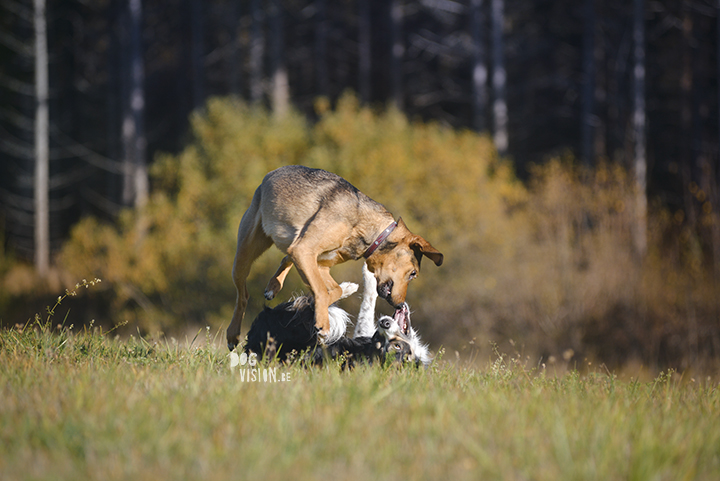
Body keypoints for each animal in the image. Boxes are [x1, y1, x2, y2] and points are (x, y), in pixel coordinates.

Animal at [228, 165, 442, 348]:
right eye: (413, 273)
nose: (400, 305)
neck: (371, 231)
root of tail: (269, 176)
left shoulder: (318, 263)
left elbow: (332, 291)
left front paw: (324, 308)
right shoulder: (304, 251)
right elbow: (322, 292)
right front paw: (322, 323)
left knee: (286, 257)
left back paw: (274, 286)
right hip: (245, 254)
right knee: (243, 296)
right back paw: (233, 335)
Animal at [245, 262, 430, 364]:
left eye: (397, 346)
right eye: (379, 339)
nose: (384, 324)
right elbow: (369, 302)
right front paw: (370, 273)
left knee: (313, 306)